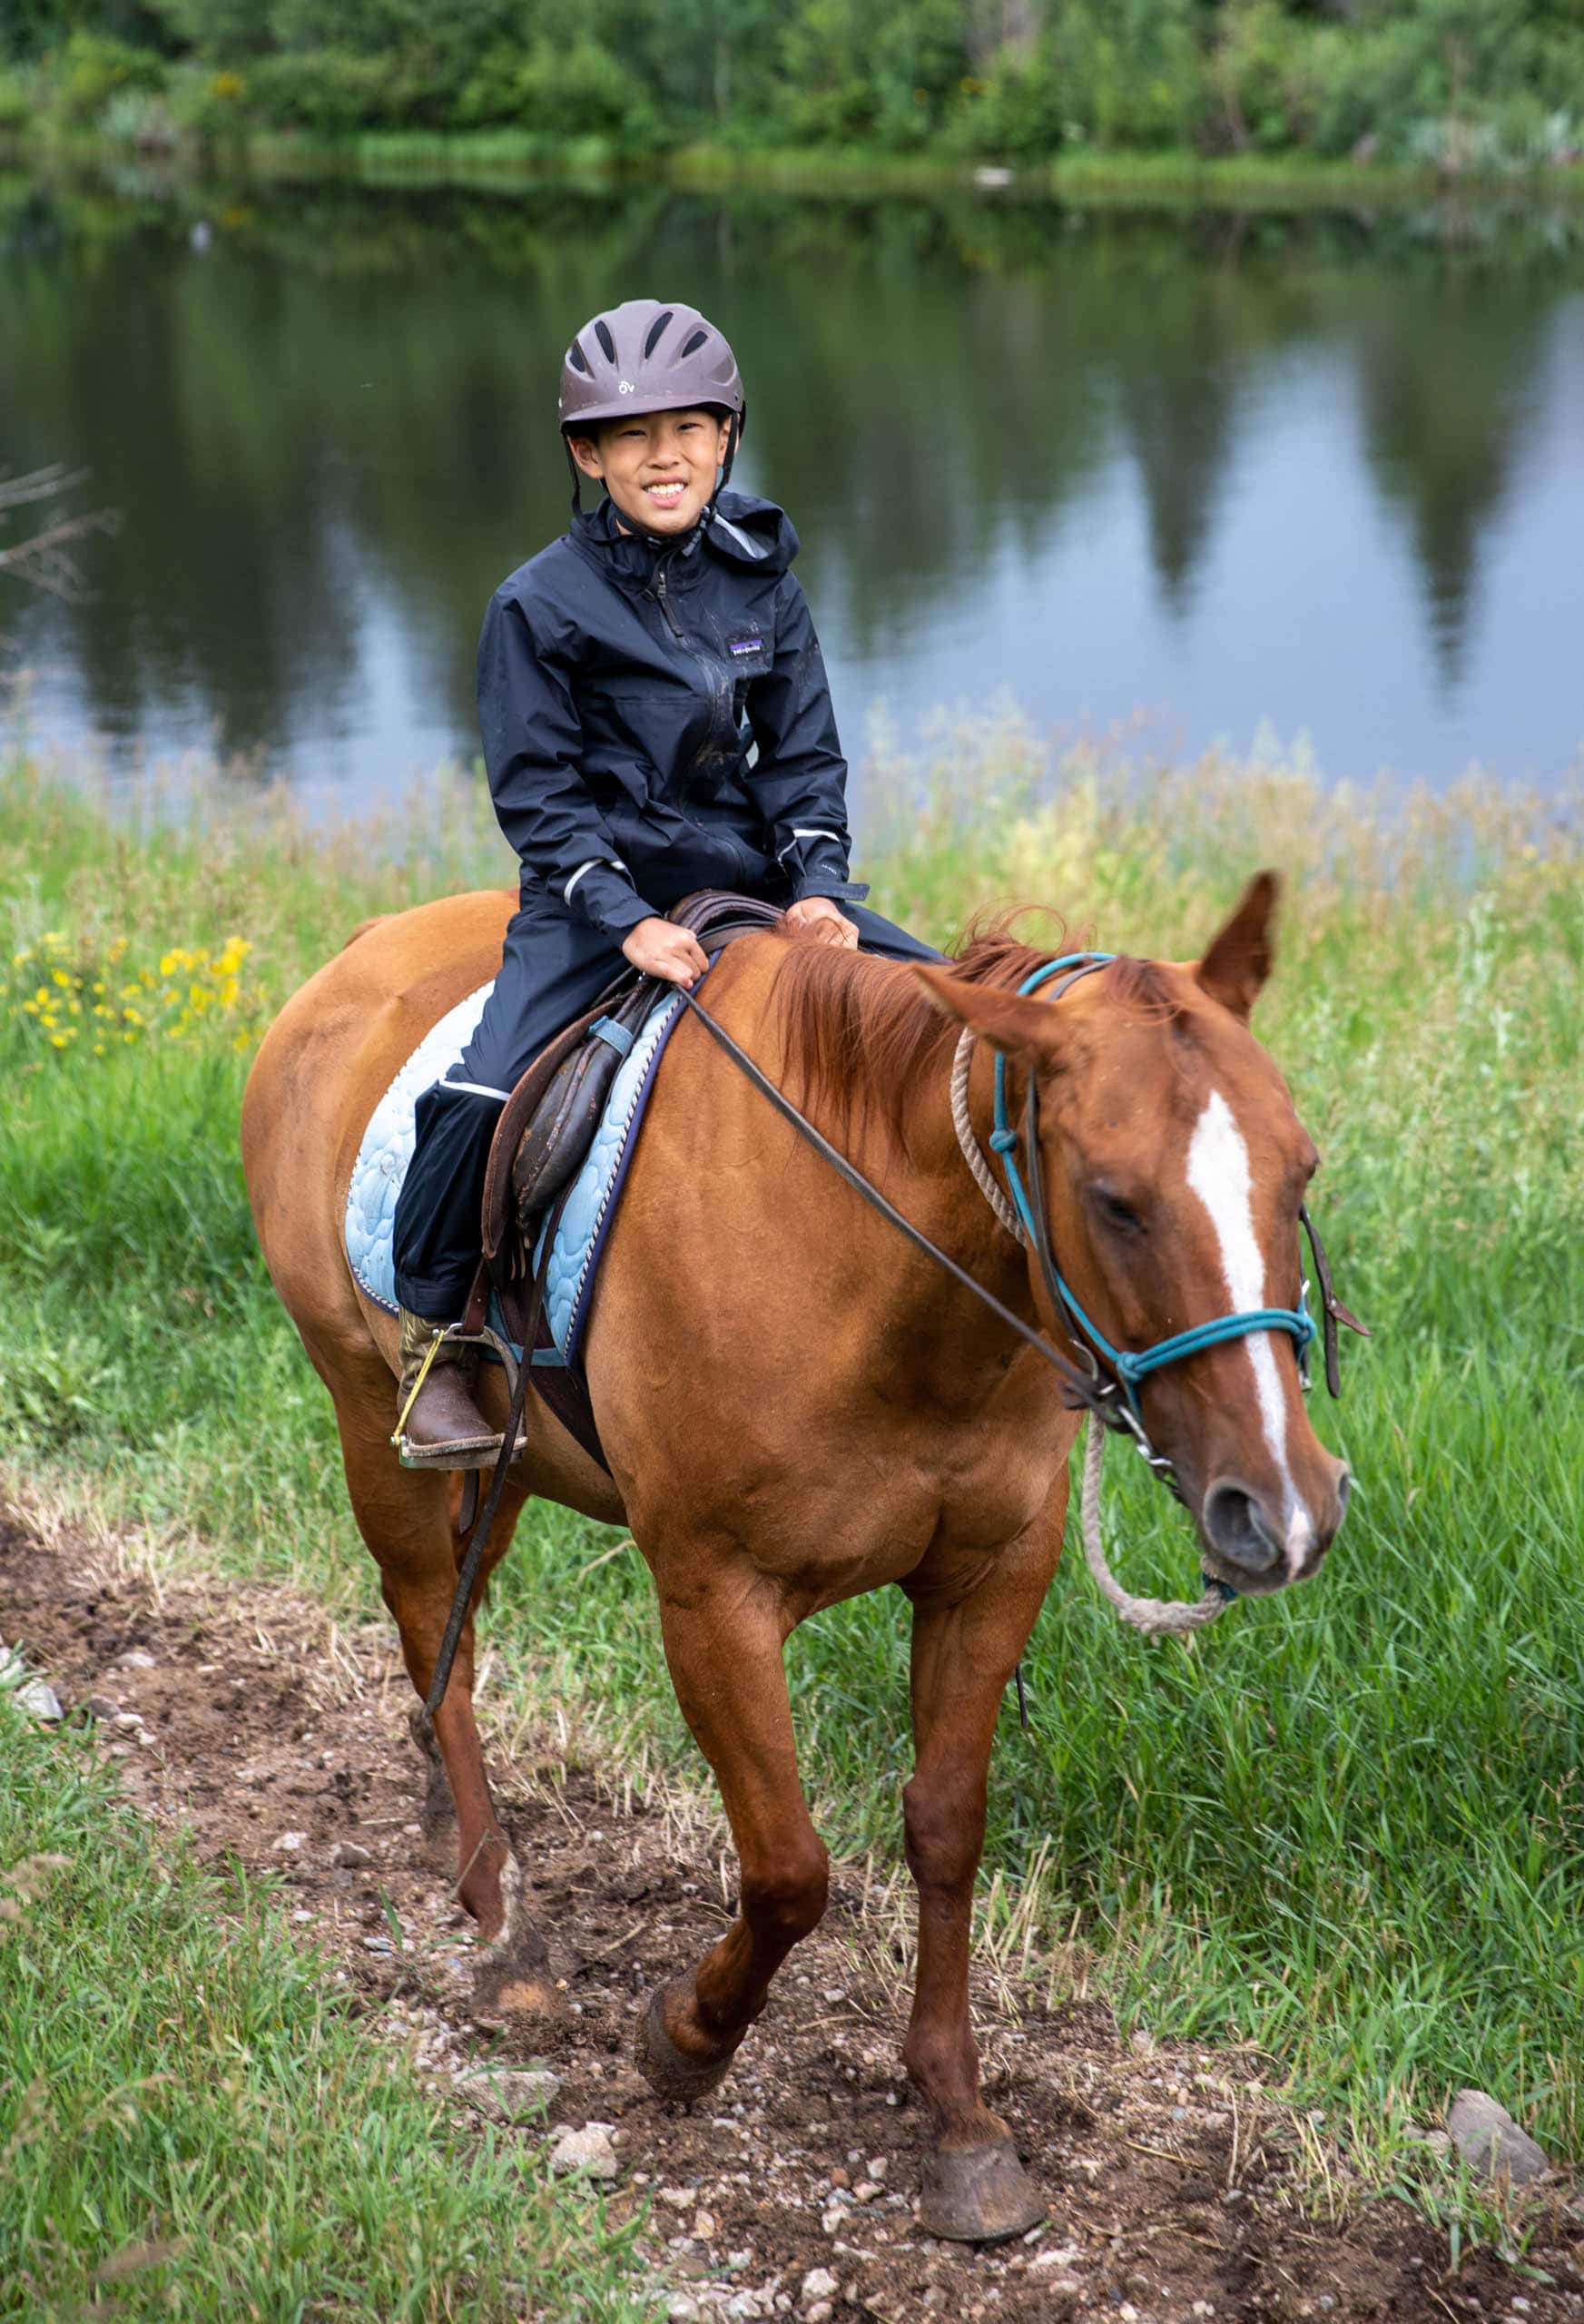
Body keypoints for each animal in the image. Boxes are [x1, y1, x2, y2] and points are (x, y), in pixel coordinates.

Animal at [240, 869, 1350, 2244]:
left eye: (1298, 1171)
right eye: (1114, 1200)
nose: (1283, 1505)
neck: (877, 1279)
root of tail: (353, 960)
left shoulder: (991, 1580)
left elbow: (946, 1828)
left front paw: (959, 2118)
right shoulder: (712, 1596)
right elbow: (787, 1869)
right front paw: (687, 2037)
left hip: (501, 1465)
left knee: (453, 1613)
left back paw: (449, 1813)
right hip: (367, 1419)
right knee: (422, 1610)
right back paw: (504, 1923)